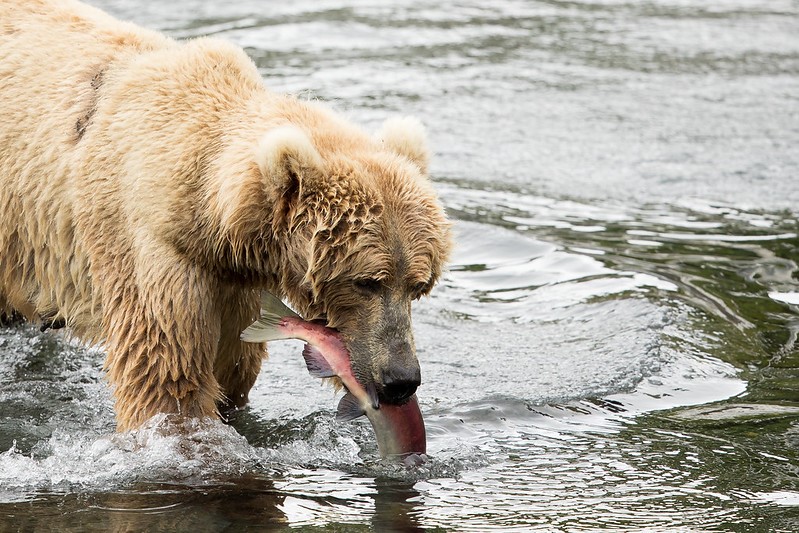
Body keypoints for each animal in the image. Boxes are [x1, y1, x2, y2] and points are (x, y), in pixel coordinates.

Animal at [0, 0, 450, 430]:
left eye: (417, 285)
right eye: (366, 281)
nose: (401, 379)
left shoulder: (233, 282)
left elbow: (233, 367)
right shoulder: (154, 249)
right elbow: (165, 374)